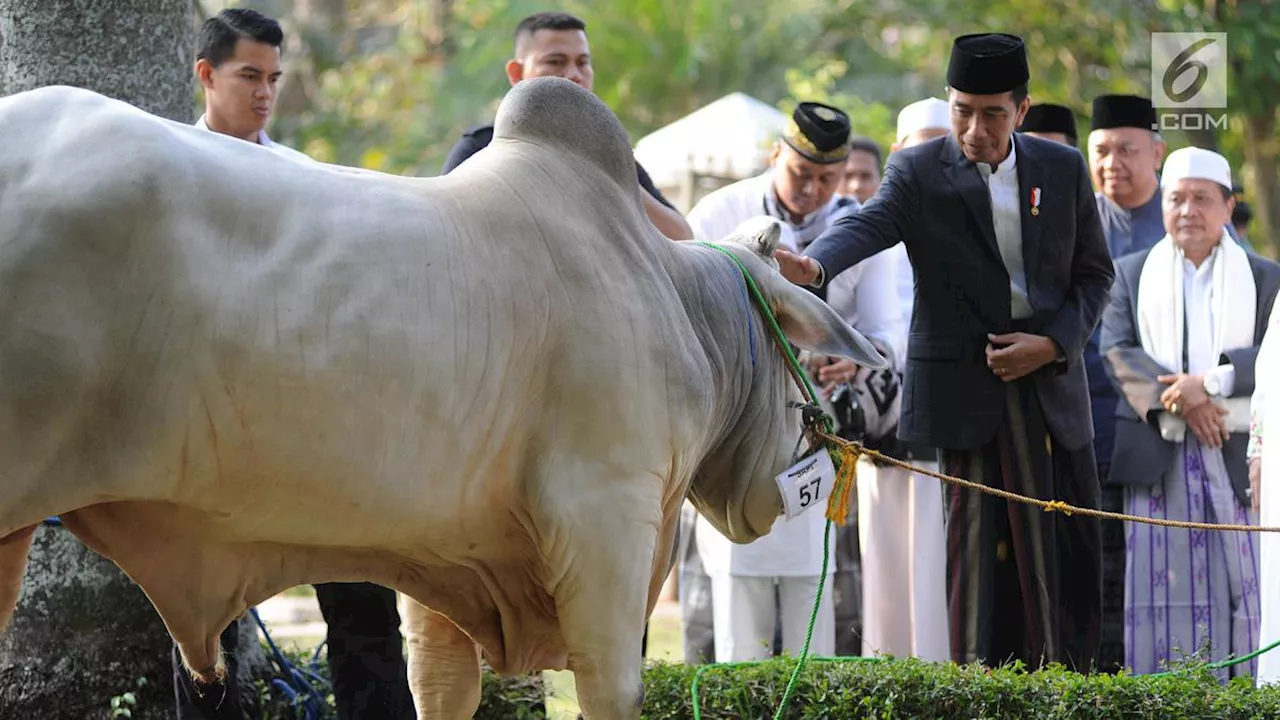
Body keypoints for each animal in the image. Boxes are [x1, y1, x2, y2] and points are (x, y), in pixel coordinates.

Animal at [0, 75, 880, 712]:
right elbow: (611, 688)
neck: (672, 297)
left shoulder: (444, 551)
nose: (815, 447)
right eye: (793, 349)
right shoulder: (608, 517)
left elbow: (444, 687)